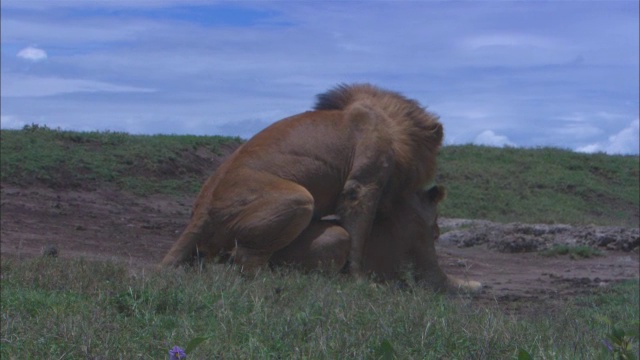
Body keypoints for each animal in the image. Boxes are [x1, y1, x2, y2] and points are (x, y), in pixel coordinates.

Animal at [161, 83, 480, 292]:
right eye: (436, 228)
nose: (435, 230)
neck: (390, 123)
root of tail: (199, 213)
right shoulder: (362, 186)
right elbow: (358, 235)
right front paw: (359, 282)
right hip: (299, 199)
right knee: (244, 261)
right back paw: (275, 282)